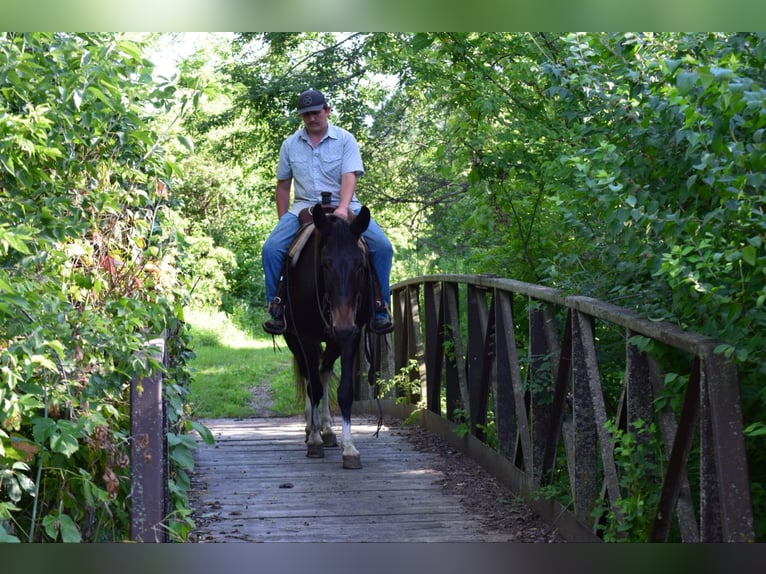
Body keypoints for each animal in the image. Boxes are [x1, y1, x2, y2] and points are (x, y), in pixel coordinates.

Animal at [282, 203, 376, 469]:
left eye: (360, 264)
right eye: (325, 264)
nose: (342, 325)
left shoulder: (351, 336)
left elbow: (344, 391)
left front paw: (350, 448)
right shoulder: (306, 337)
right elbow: (312, 386)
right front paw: (314, 440)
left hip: (332, 342)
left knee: (323, 372)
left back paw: (327, 430)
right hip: (294, 340)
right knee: (309, 376)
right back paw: (310, 428)